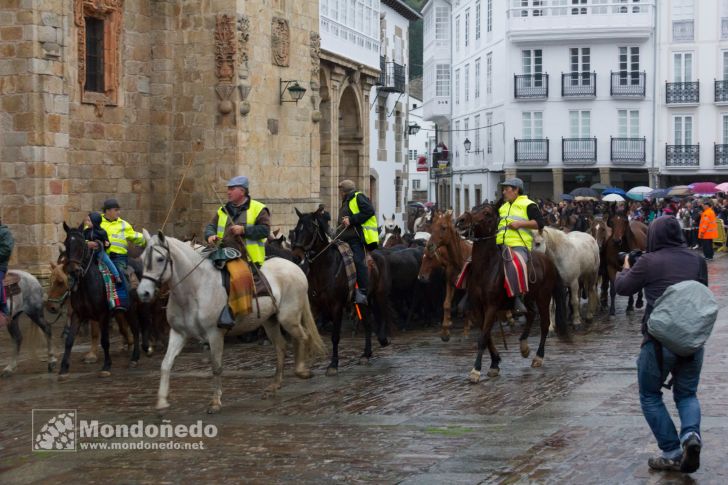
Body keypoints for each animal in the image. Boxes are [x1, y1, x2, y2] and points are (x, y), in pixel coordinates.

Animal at [58, 223, 141, 378]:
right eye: (66, 244)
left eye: (82, 244)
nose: (73, 270)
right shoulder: (78, 314)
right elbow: (69, 340)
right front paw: (63, 368)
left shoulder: (103, 315)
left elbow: (105, 341)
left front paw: (106, 366)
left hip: (131, 309)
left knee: (136, 330)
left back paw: (135, 358)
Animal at [138, 231, 326, 412]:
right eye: (142, 259)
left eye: (160, 259)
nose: (143, 293)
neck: (195, 287)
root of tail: (295, 268)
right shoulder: (178, 334)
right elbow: (166, 364)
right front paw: (162, 402)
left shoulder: (215, 333)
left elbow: (216, 366)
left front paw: (215, 402)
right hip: (270, 320)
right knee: (281, 346)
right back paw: (274, 385)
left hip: (288, 318)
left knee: (303, 336)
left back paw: (301, 370)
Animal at [292, 208, 392, 374]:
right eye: (296, 229)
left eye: (310, 229)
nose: (296, 256)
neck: (325, 267)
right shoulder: (314, 306)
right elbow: (309, 333)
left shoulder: (336, 306)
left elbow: (335, 336)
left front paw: (333, 364)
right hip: (362, 302)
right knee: (367, 323)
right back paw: (366, 354)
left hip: (380, 294)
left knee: (383, 313)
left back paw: (383, 339)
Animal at [418, 211, 474, 340]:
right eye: (432, 228)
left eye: (443, 227)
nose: (430, 245)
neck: (460, 260)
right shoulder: (450, 283)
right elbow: (446, 304)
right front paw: (445, 331)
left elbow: (465, 307)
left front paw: (466, 331)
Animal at [456, 204, 568, 382]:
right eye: (473, 208)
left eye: (486, 213)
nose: (461, 220)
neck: (485, 268)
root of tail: (548, 261)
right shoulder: (478, 307)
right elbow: (486, 335)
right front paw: (494, 363)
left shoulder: (492, 306)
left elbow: (483, 337)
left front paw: (476, 370)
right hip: (528, 298)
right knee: (530, 313)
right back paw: (524, 346)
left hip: (543, 298)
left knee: (544, 324)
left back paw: (538, 357)